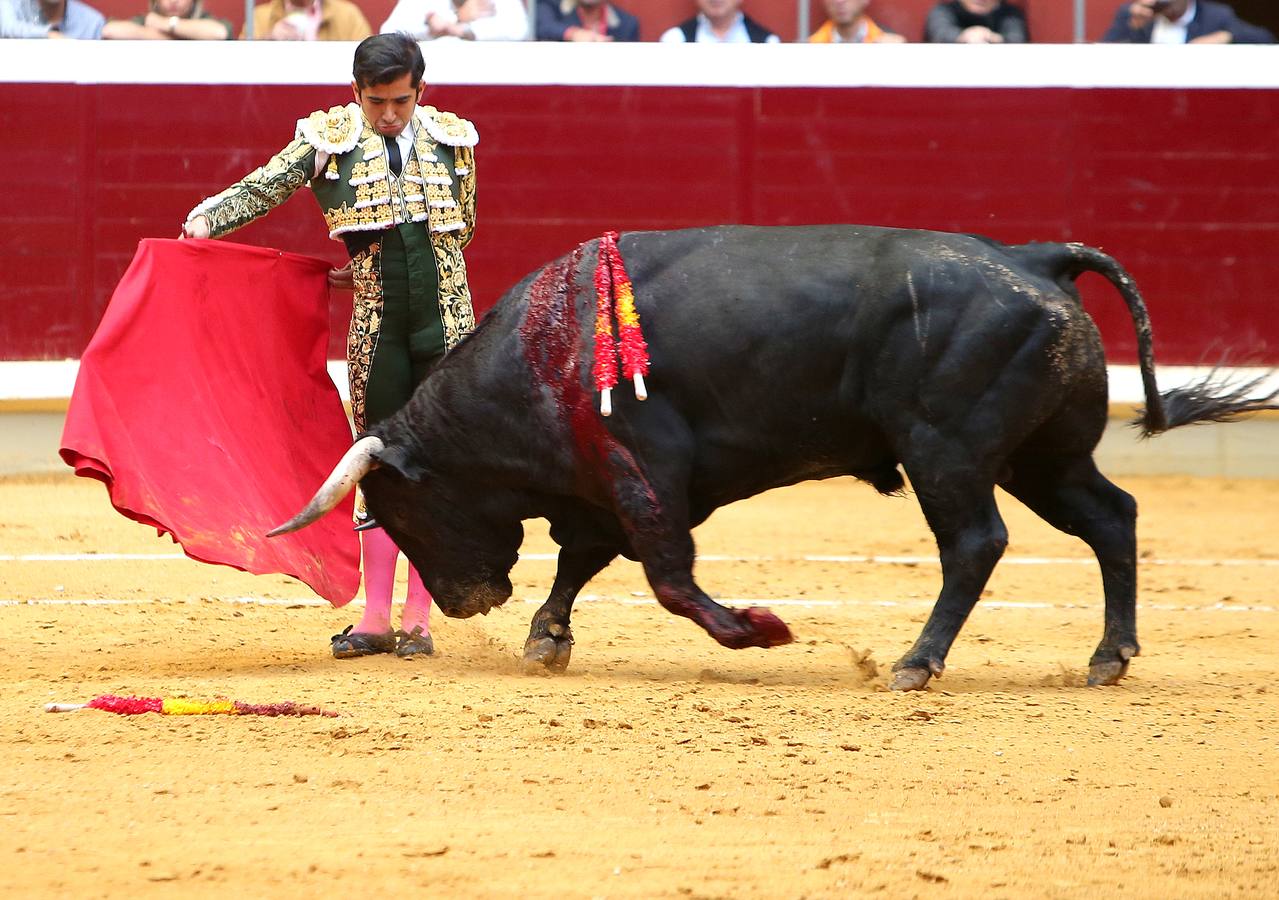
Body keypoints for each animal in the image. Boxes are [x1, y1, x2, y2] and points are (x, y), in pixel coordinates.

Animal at [269, 225, 1268, 690]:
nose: (465, 603)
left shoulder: (645, 470)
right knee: (1110, 517)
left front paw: (758, 629)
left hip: (946, 451)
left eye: (400, 510)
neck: (542, 349)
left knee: (974, 544)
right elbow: (583, 559)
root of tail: (1034, 258)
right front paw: (545, 638)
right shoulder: (606, 481)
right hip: (1042, 457)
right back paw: (1107, 657)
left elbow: (666, 576)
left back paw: (915, 662)